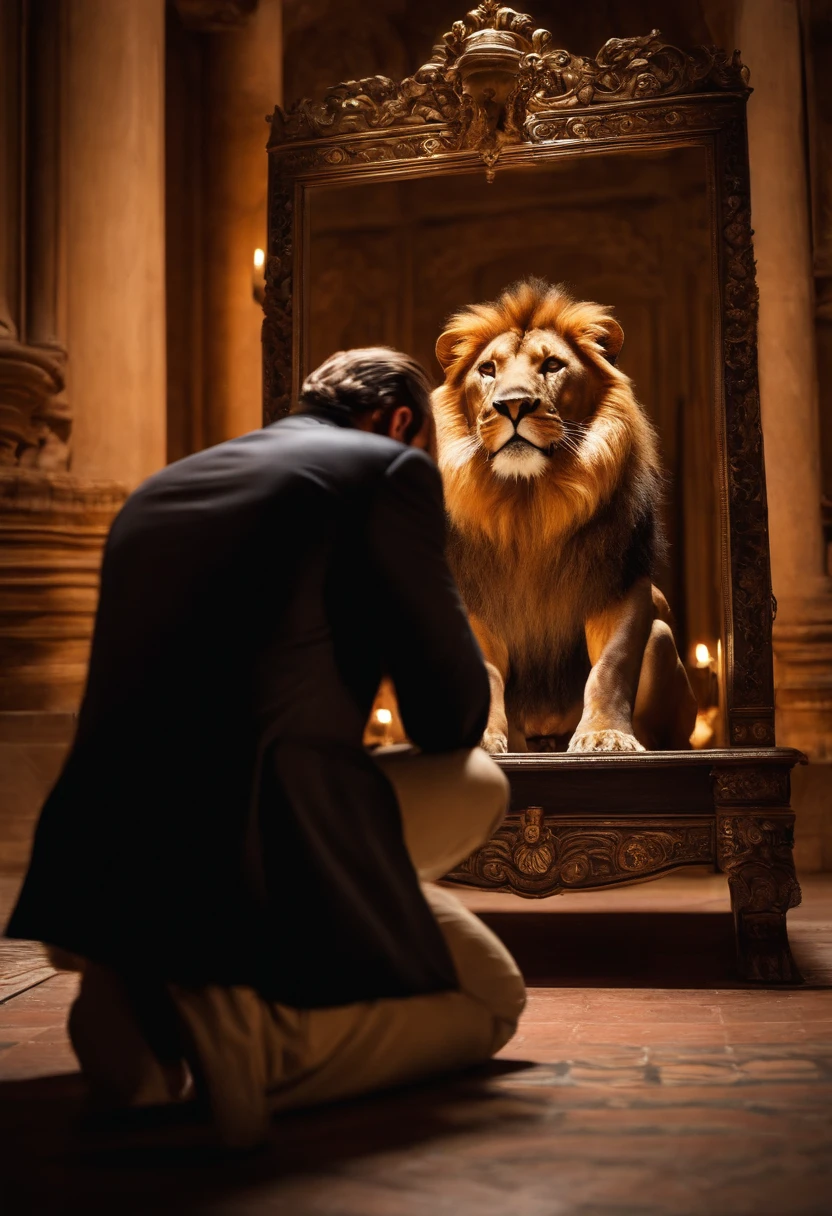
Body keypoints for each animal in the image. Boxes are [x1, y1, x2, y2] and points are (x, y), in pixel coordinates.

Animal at [433, 278, 700, 749]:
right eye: (488, 369)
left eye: (552, 365)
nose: (513, 405)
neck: (530, 506)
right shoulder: (473, 600)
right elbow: (486, 674)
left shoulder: (621, 583)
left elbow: (611, 666)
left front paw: (606, 736)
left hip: (662, 638)